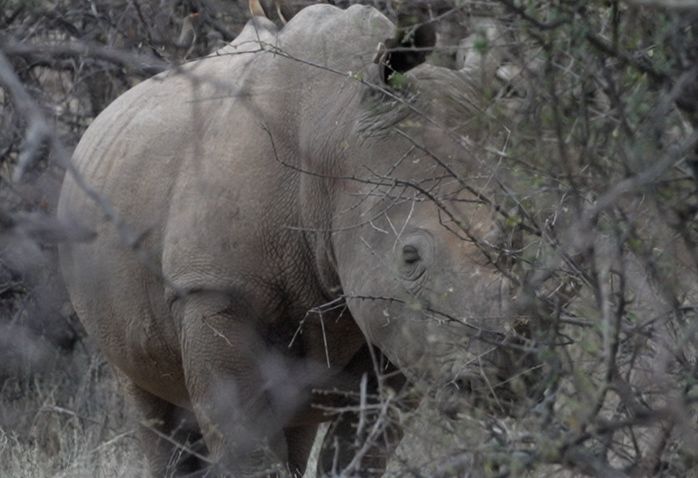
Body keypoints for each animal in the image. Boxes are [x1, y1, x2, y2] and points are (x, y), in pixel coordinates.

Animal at [57, 2, 532, 474]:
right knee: (150, 406)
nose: (506, 371)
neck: (335, 134)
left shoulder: (401, 324)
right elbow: (249, 450)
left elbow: (363, 449)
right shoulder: (212, 290)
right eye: (410, 256)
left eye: (520, 239)